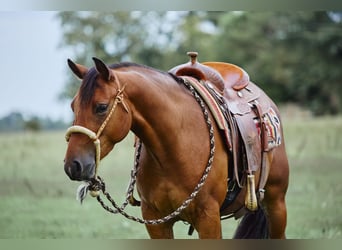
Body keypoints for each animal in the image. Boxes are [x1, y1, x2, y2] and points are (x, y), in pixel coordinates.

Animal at [63, 56, 288, 238]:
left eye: (101, 107)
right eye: (73, 106)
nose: (73, 165)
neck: (173, 148)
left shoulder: (208, 218)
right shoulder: (155, 220)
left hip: (276, 204)